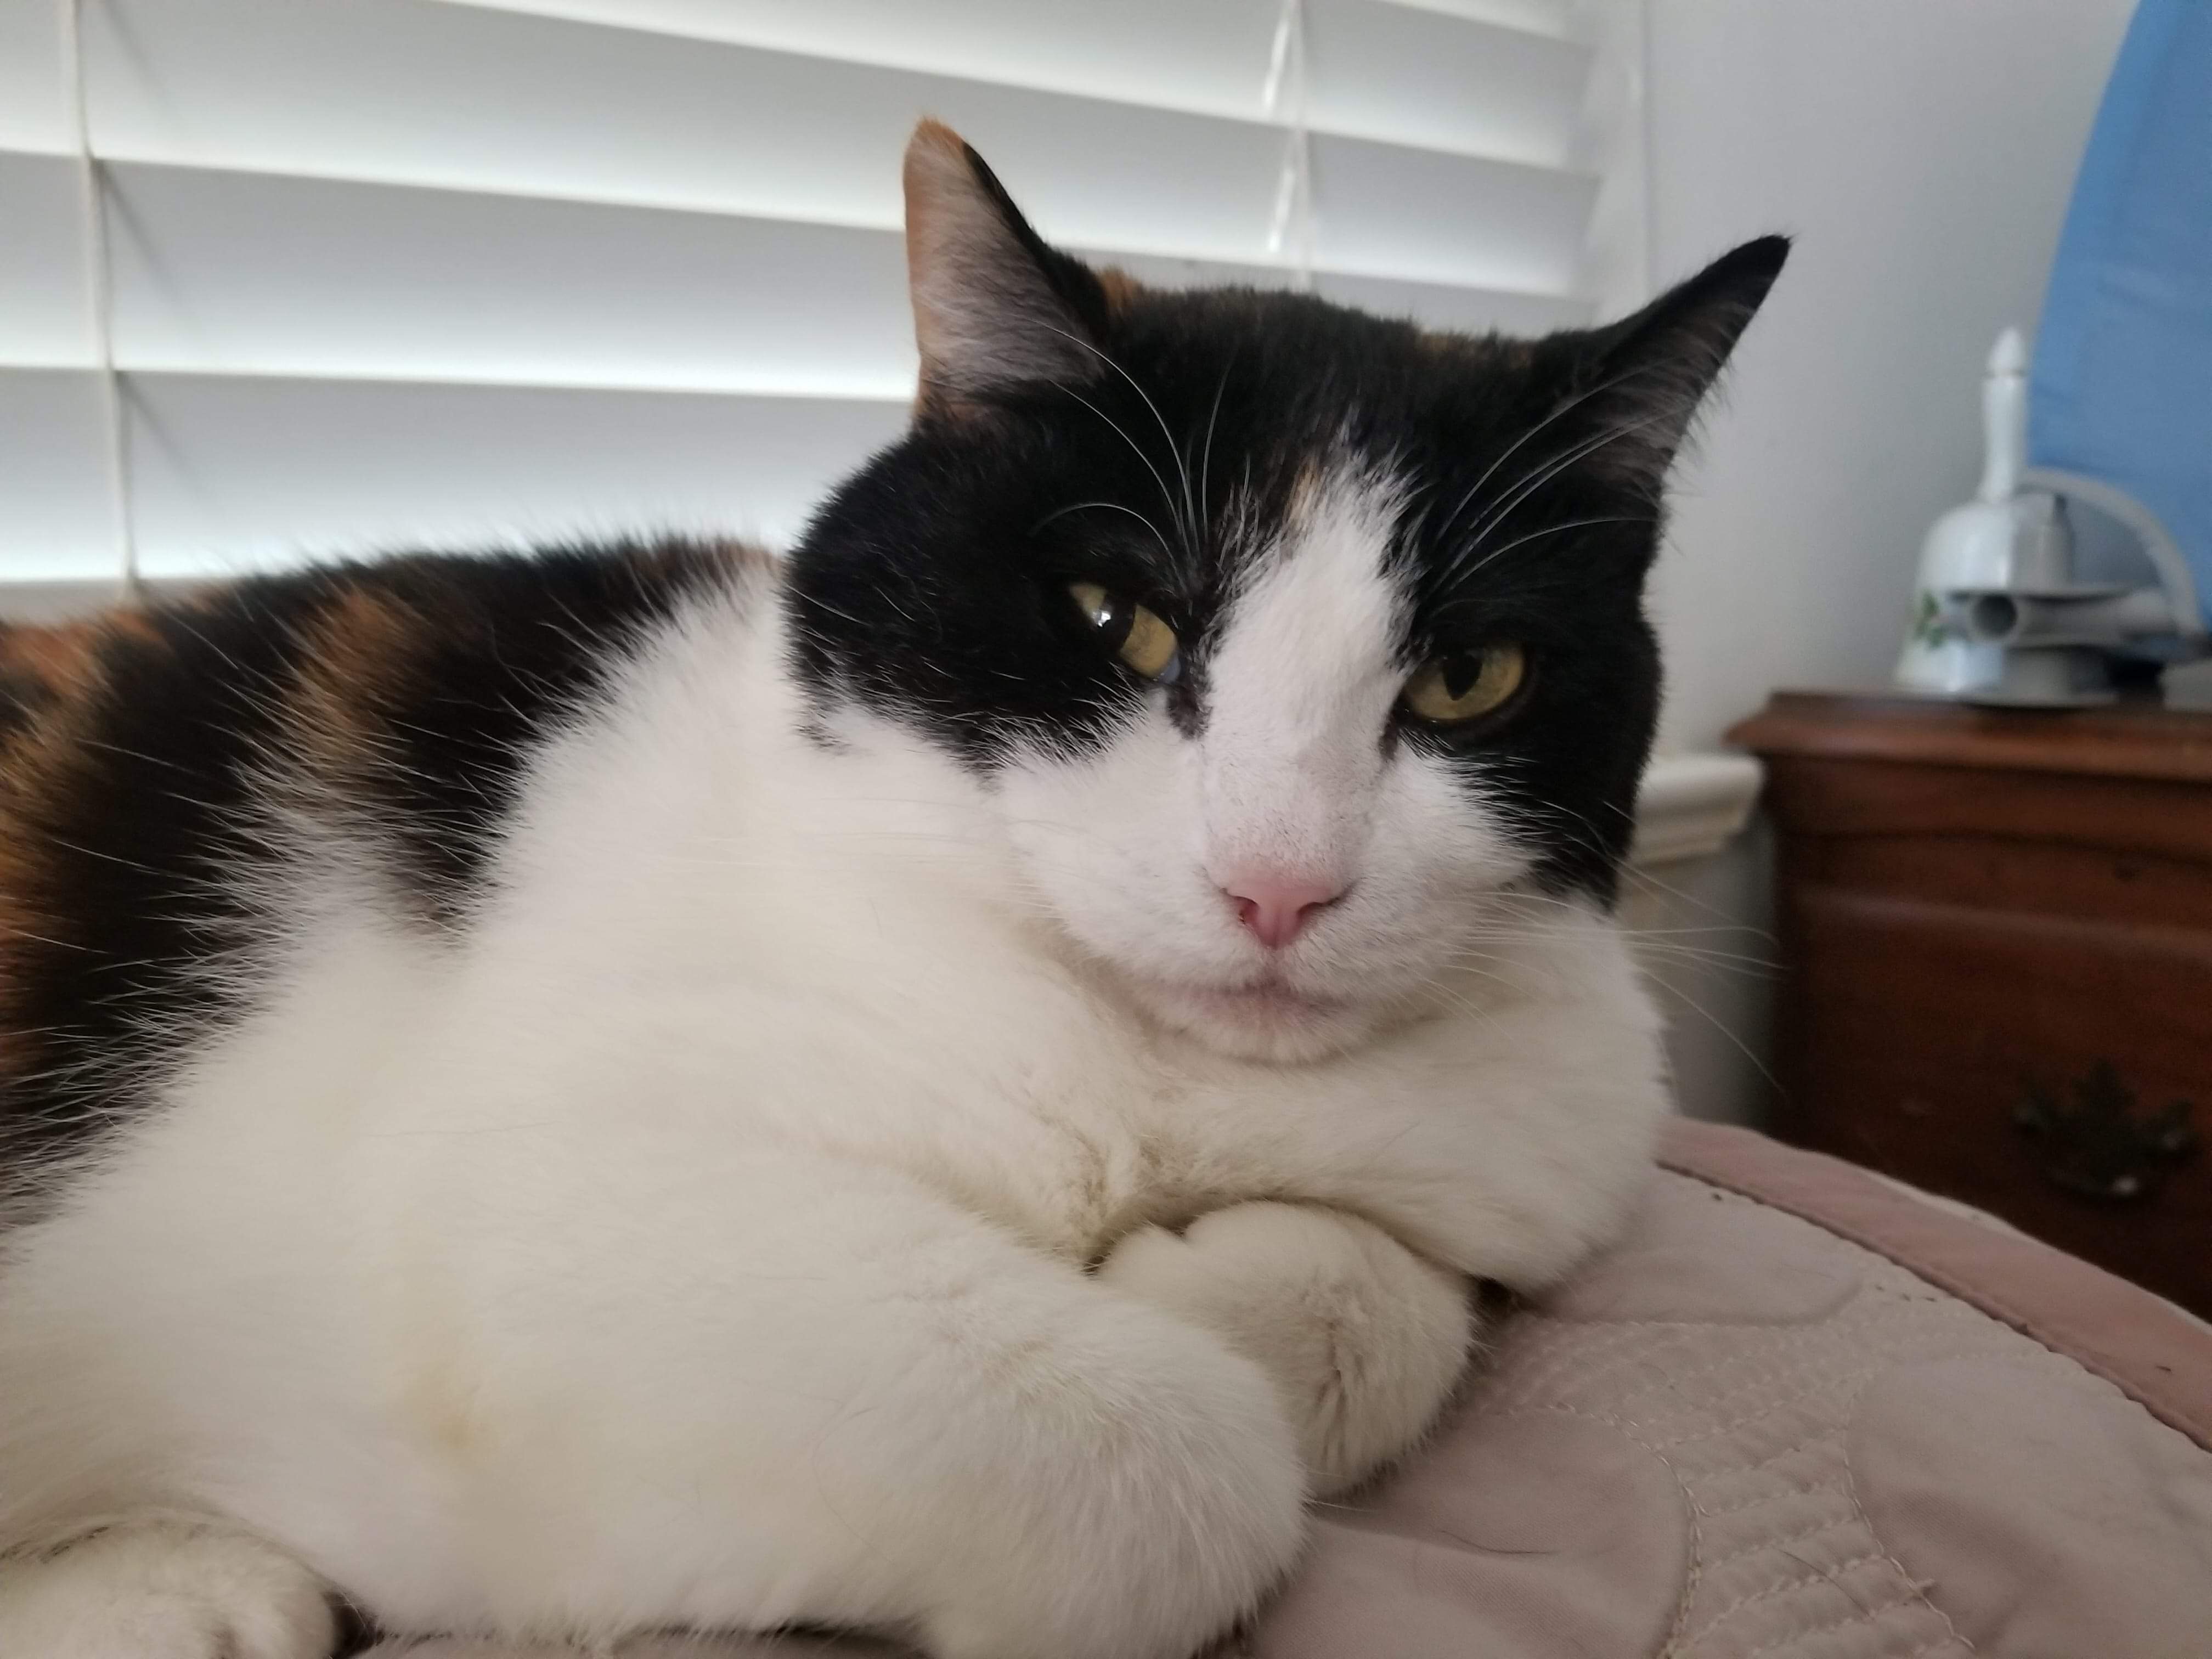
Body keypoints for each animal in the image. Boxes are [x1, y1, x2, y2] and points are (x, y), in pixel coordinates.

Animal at [0, 120, 1787, 1659]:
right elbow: (1178, 1463)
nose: (1280, 885)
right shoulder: (526, 1220)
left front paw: (1209, 1292)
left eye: (1471, 679)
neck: (1145, 1075)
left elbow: (1403, 1289)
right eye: (1122, 621)